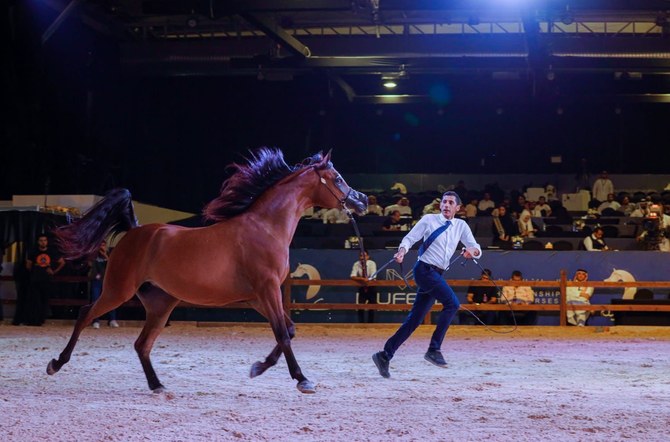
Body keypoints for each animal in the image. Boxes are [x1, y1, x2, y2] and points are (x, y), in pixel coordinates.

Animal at [46, 148, 372, 394]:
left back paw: (158, 386)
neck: (265, 227)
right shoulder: (266, 290)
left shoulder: (258, 296)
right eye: (337, 178)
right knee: (85, 314)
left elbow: (288, 330)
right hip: (118, 290)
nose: (362, 200)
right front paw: (302, 379)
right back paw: (56, 363)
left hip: (161, 303)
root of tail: (136, 230)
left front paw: (258, 368)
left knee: (142, 344)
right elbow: (283, 333)